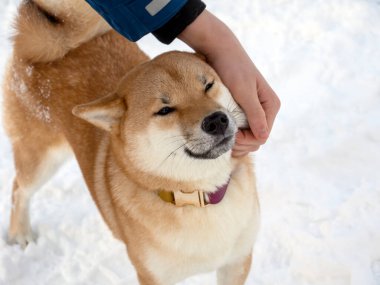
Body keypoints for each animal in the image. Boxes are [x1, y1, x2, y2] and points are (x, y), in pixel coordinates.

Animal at [1, 1, 260, 282]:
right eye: (165, 110)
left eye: (208, 85)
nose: (216, 121)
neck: (198, 196)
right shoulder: (152, 276)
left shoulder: (237, 262)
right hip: (41, 158)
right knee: (19, 188)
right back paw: (20, 234)